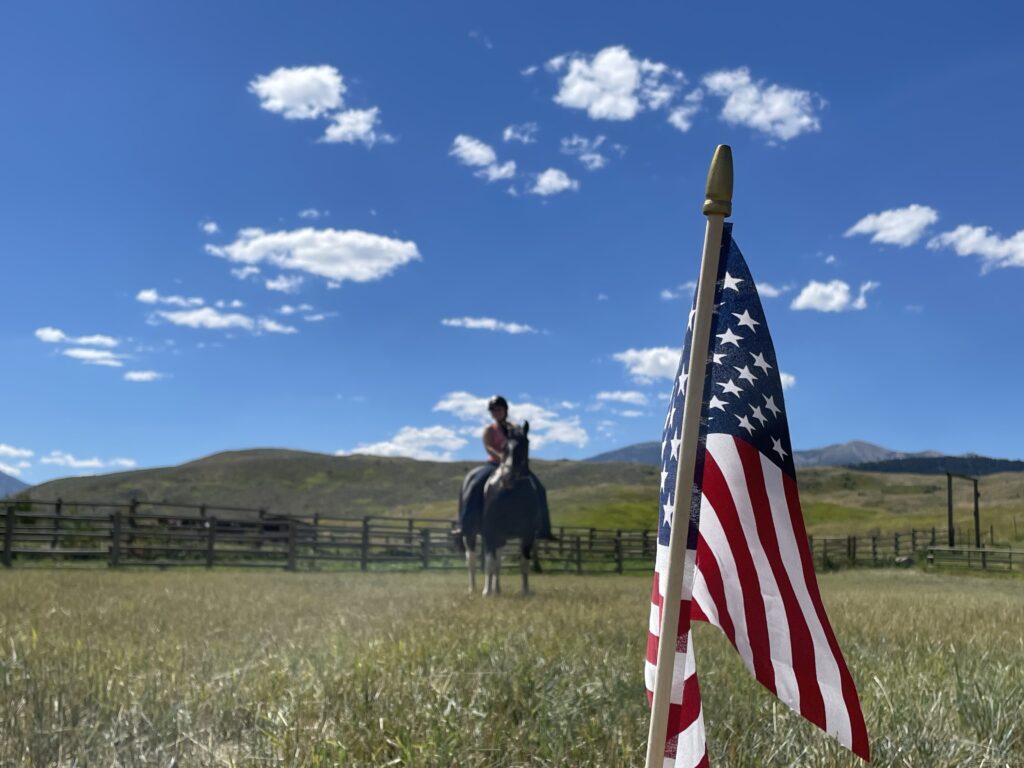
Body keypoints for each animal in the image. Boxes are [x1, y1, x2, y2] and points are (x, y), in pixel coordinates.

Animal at [458, 421, 544, 593]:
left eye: (525, 444)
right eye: (504, 447)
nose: (508, 477)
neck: (511, 495)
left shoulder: (528, 534)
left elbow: (523, 564)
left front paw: (525, 591)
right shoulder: (490, 531)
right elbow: (489, 563)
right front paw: (486, 592)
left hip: (501, 538)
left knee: (497, 562)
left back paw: (496, 589)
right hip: (470, 533)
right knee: (471, 559)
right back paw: (473, 589)